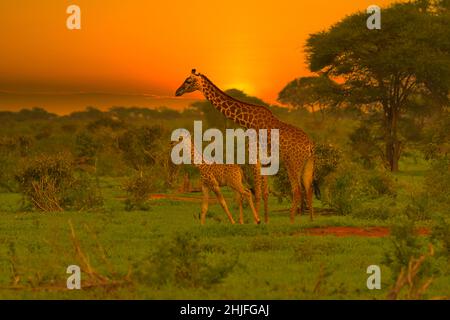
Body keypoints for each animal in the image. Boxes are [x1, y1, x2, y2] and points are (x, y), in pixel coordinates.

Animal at [174, 68, 314, 221]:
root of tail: (310, 146)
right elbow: (265, 192)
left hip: (292, 163)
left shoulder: (253, 155)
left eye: (188, 80)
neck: (247, 120)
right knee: (309, 188)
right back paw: (311, 220)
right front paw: (266, 221)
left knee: (297, 189)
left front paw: (257, 220)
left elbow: (257, 192)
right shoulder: (265, 159)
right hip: (307, 164)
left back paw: (292, 220)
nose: (177, 91)